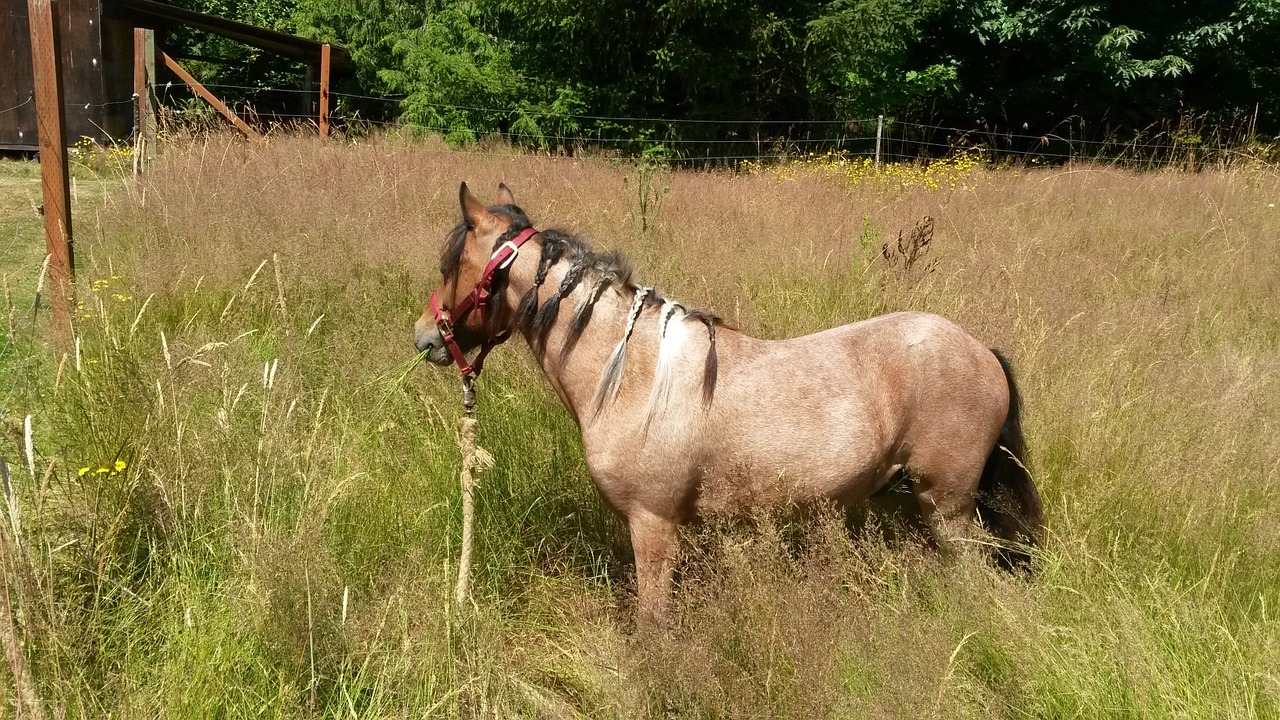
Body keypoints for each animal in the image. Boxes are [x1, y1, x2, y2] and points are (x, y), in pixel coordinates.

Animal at [414, 181, 1044, 625]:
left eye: (450, 266)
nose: (424, 337)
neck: (632, 374)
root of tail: (981, 352)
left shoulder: (653, 525)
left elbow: (653, 623)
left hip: (950, 510)